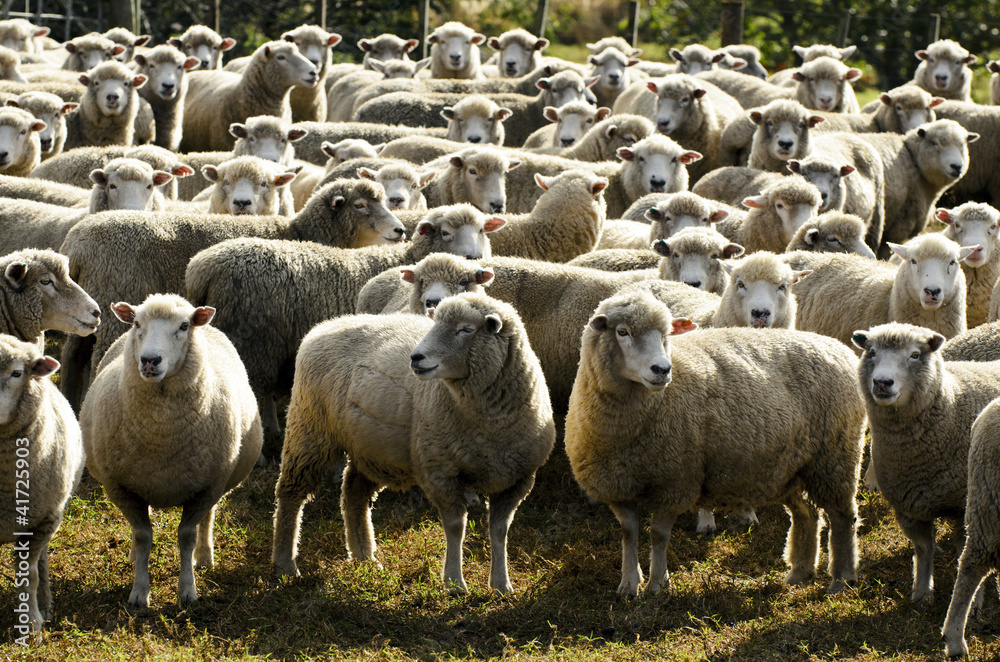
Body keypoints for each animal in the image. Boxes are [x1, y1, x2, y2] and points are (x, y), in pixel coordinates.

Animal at [80, 294, 262, 607]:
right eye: (137, 324)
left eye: (184, 326)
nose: (150, 360)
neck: (161, 432)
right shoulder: (121, 487)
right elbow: (143, 536)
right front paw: (140, 592)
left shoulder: (207, 486)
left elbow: (187, 535)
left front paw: (187, 590)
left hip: (218, 480)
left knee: (209, 517)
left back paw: (205, 556)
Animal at [272, 291, 554, 593]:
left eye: (466, 329)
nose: (416, 357)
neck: (489, 425)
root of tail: (326, 325)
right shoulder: (439, 471)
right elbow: (456, 527)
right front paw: (454, 583)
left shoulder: (518, 479)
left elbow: (500, 530)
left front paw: (501, 584)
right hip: (310, 430)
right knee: (291, 495)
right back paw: (285, 565)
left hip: (370, 447)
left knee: (354, 495)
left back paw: (364, 557)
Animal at [565, 287, 864, 597]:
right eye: (622, 331)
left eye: (666, 334)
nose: (662, 370)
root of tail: (838, 347)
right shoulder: (618, 486)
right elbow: (629, 533)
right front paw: (628, 584)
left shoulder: (676, 482)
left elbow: (658, 535)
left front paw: (658, 584)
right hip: (792, 467)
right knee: (807, 514)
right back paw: (799, 572)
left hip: (834, 457)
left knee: (843, 517)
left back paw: (841, 580)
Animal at [853, 322, 1000, 608]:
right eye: (872, 352)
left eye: (915, 355)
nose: (882, 382)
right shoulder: (908, 506)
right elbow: (923, 550)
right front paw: (922, 591)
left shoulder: (967, 508)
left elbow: (966, 555)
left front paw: (976, 600)